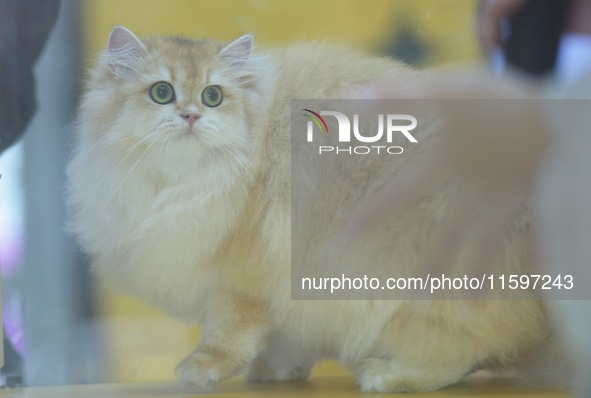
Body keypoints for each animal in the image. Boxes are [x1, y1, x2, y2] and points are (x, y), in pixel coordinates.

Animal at [67, 25, 560, 392]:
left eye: (212, 97)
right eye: (162, 93)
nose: (191, 116)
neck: (182, 184)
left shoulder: (244, 280)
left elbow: (229, 332)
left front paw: (204, 367)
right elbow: (285, 339)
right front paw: (278, 371)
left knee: (459, 351)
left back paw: (389, 375)